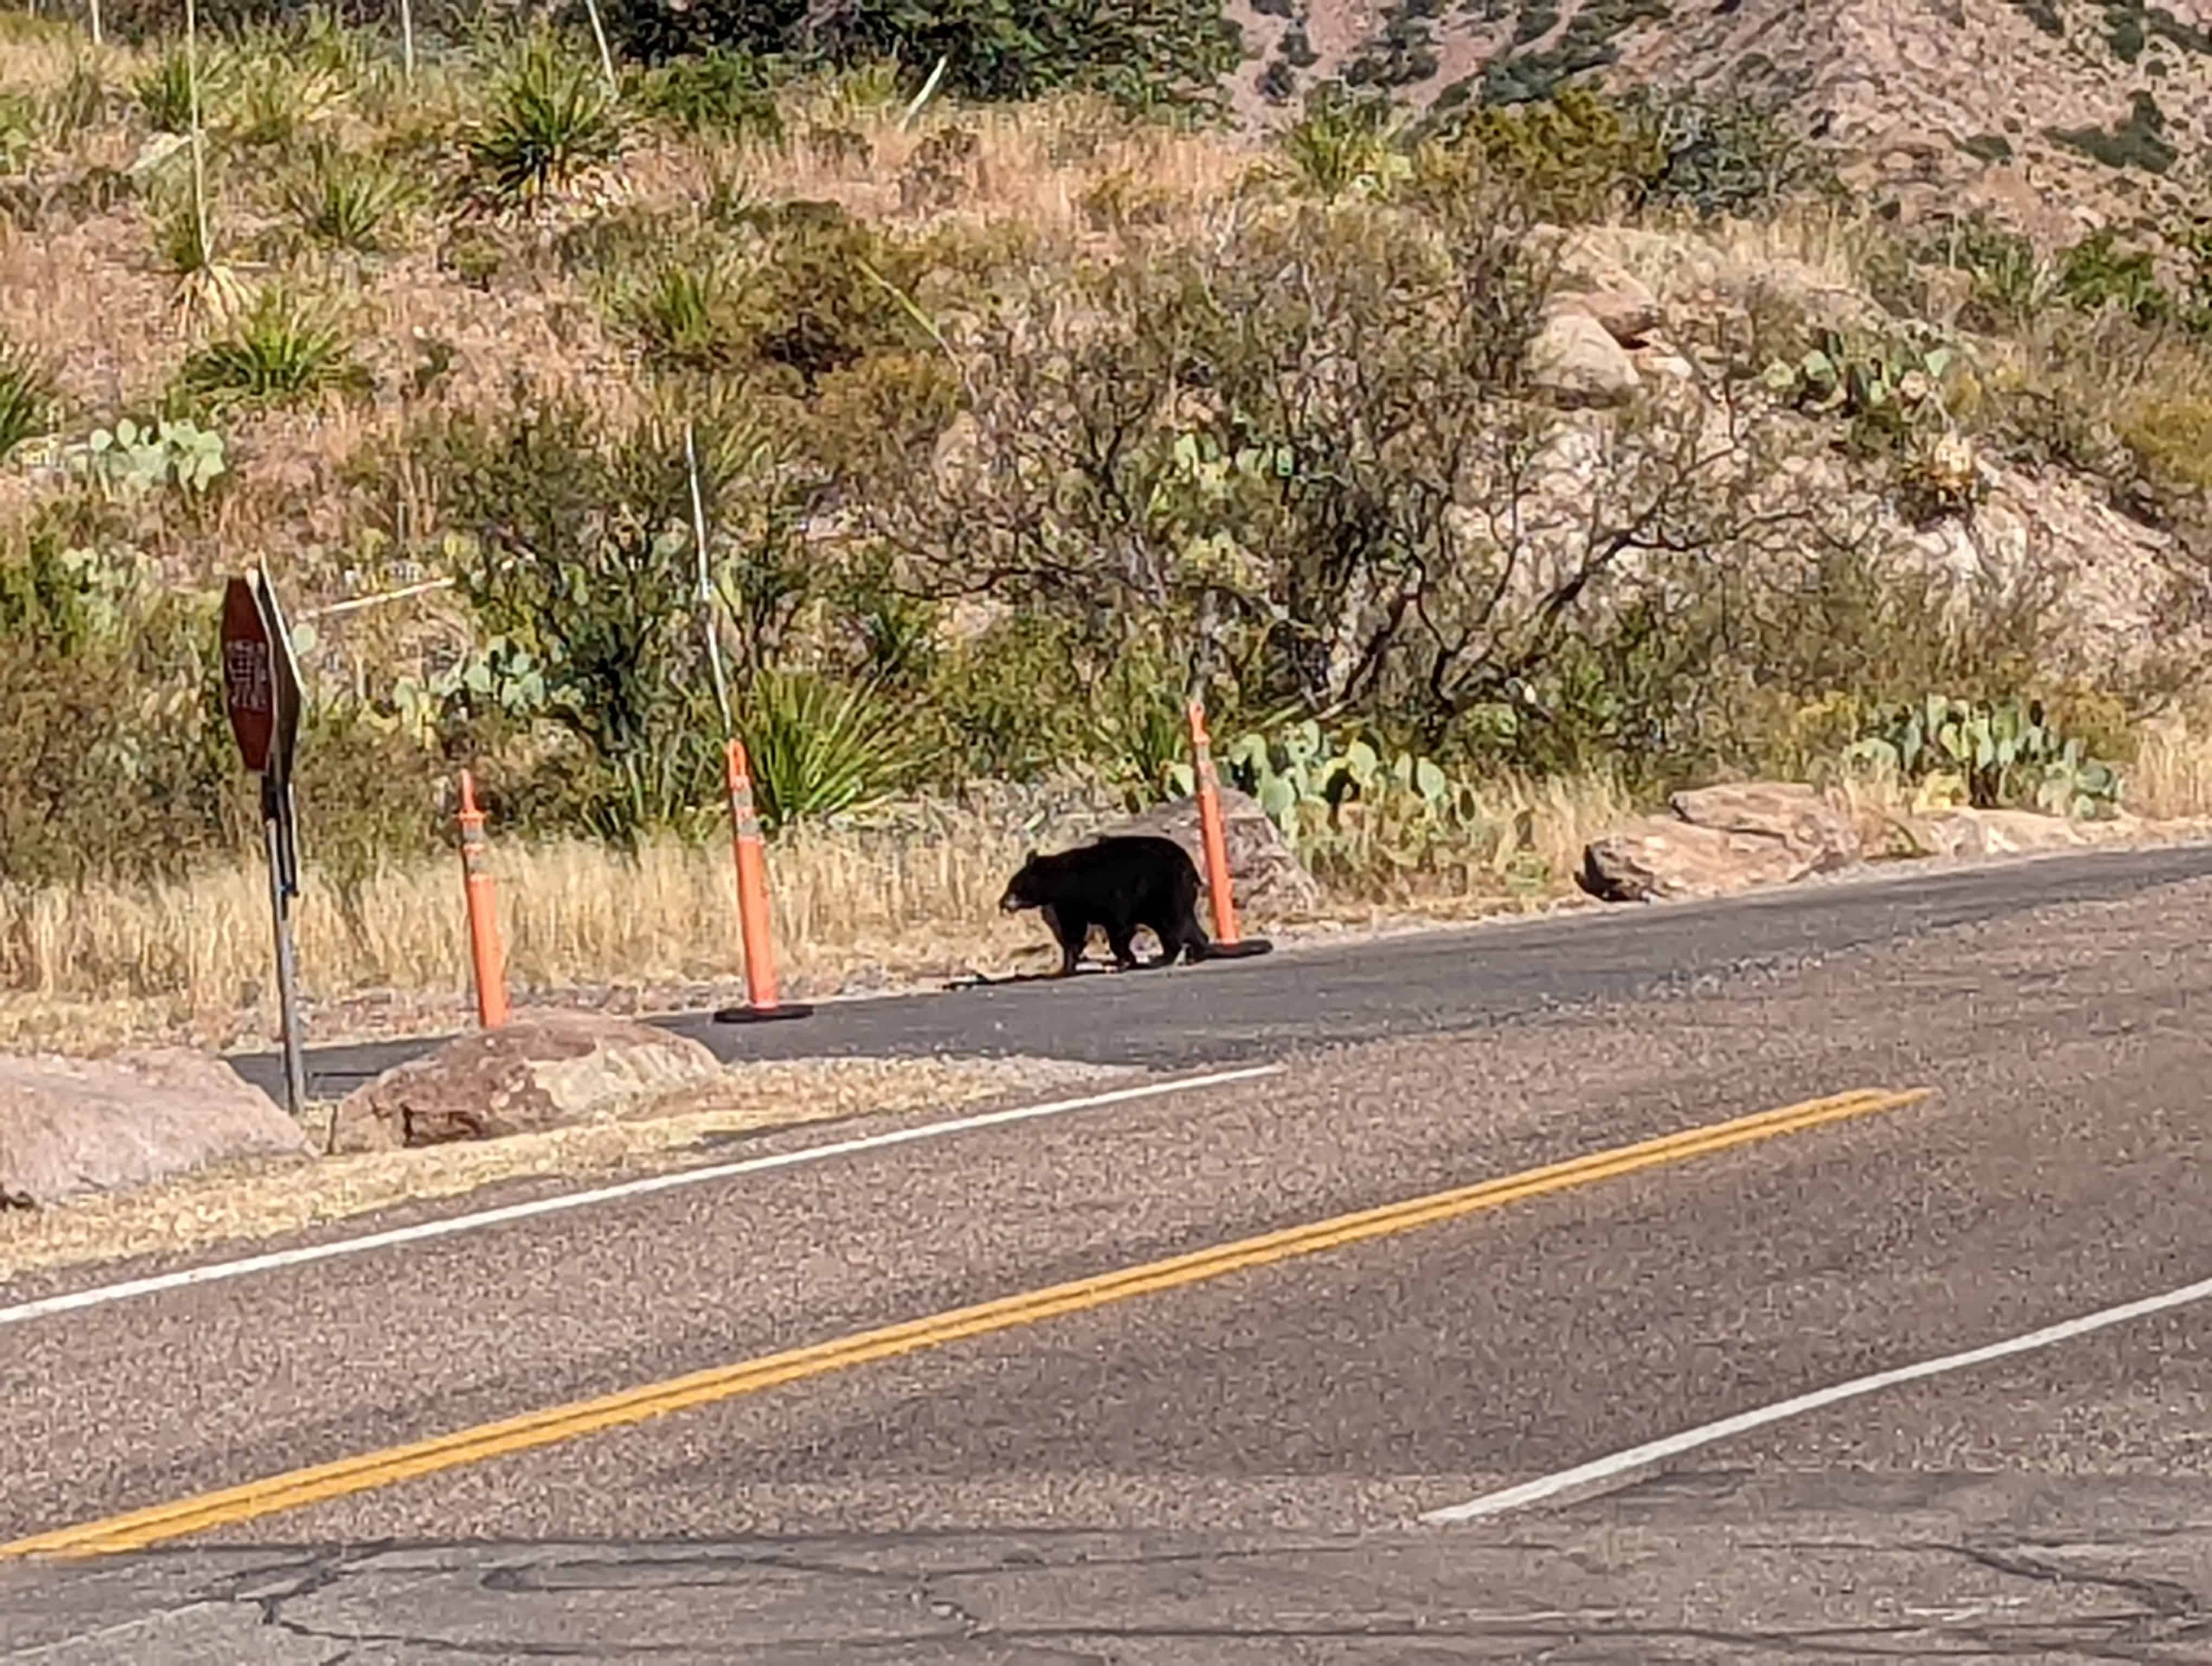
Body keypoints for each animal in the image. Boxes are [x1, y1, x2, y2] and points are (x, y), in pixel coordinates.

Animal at [1000, 831, 1212, 973]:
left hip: (1163, 892)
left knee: (1172, 925)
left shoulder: (1107, 896)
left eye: (1012, 886)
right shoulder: (1073, 905)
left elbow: (1116, 928)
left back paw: (1162, 959)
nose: (1002, 903)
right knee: (1186, 923)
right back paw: (1195, 954)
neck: (1062, 880)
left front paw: (1125, 961)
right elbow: (1076, 932)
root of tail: (1190, 866)